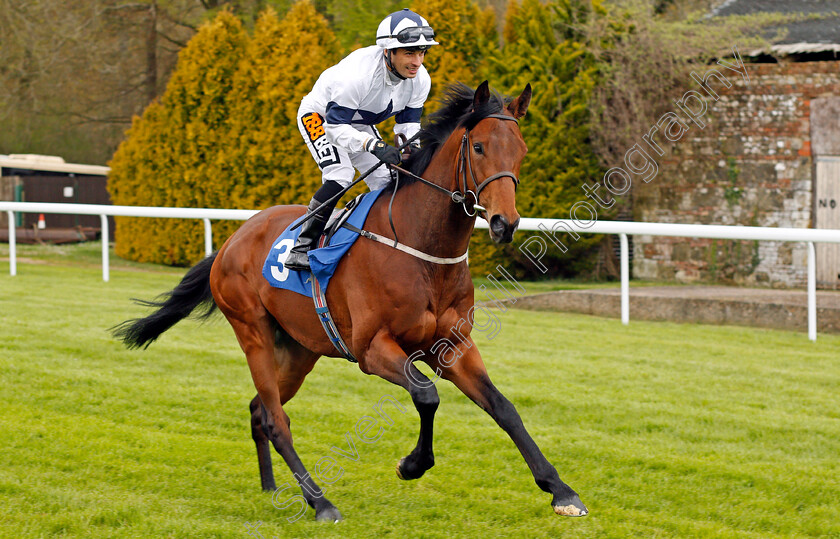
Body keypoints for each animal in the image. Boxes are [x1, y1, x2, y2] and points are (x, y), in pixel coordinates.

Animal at [113, 81, 592, 524]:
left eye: (521, 151)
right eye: (478, 147)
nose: (503, 223)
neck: (421, 249)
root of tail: (233, 239)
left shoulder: (453, 347)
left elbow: (504, 409)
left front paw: (562, 491)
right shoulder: (372, 349)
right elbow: (426, 394)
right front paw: (412, 465)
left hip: (300, 350)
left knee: (260, 409)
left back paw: (271, 486)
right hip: (253, 334)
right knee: (276, 421)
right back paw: (320, 501)